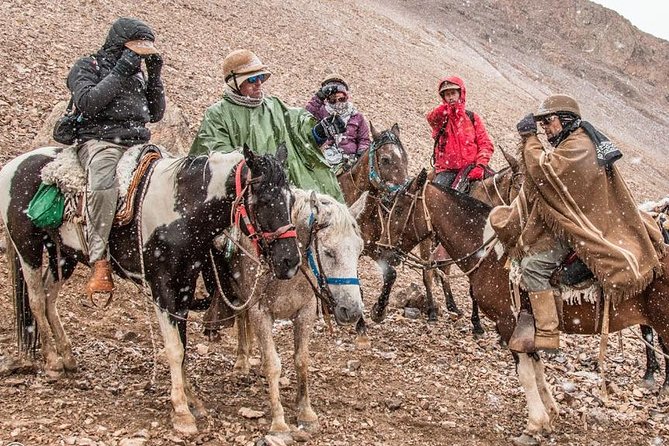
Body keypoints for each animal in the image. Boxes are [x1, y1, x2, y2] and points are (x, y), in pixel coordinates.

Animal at [0, 144, 300, 436]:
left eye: (291, 200)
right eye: (263, 201)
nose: (290, 261)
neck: (180, 210)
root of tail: (13, 165)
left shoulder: (184, 286)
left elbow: (183, 346)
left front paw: (192, 400)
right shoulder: (163, 288)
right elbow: (174, 348)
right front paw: (182, 412)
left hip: (64, 255)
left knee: (49, 298)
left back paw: (68, 357)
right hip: (27, 248)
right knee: (36, 300)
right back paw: (52, 361)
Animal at [209, 188, 366, 442]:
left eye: (360, 251)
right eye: (328, 252)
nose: (352, 311)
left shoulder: (305, 312)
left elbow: (302, 360)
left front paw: (306, 413)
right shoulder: (261, 313)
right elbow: (272, 364)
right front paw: (279, 424)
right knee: (242, 316)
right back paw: (242, 360)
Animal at [380, 170, 668, 442]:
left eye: (401, 208)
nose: (384, 250)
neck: (490, 254)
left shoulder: (509, 322)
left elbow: (525, 373)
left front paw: (534, 424)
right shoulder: (530, 324)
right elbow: (537, 368)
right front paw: (550, 414)